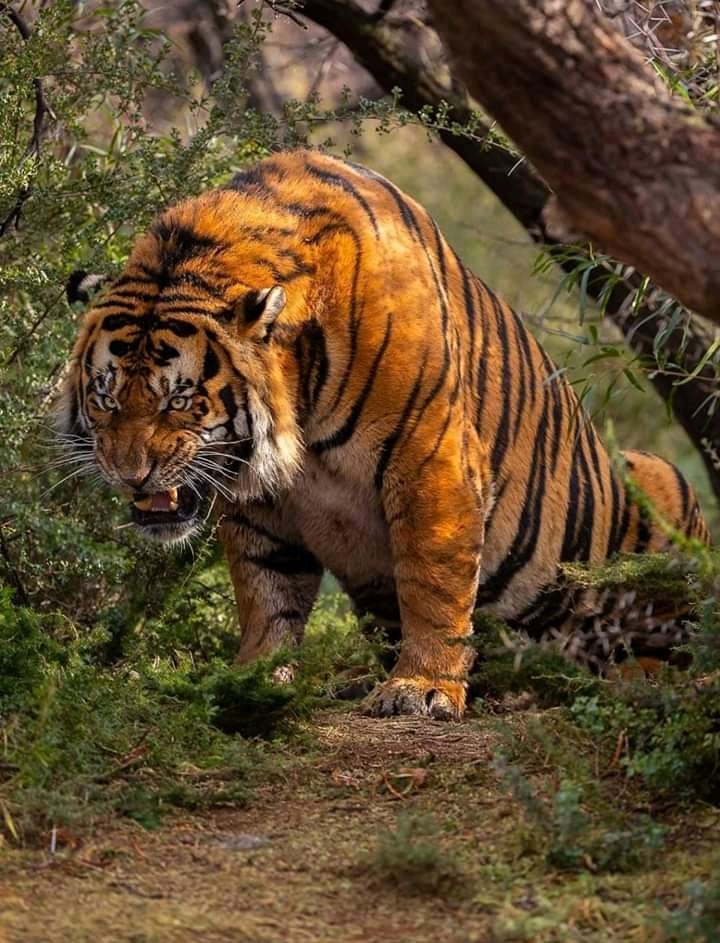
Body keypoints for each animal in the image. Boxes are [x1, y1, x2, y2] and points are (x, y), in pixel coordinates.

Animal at [55, 149, 710, 721]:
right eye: (106, 396)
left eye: (180, 400)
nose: (129, 474)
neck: (299, 400)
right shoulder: (261, 501)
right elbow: (266, 590)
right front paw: (253, 678)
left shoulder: (431, 461)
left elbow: (432, 582)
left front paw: (421, 688)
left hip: (662, 491)